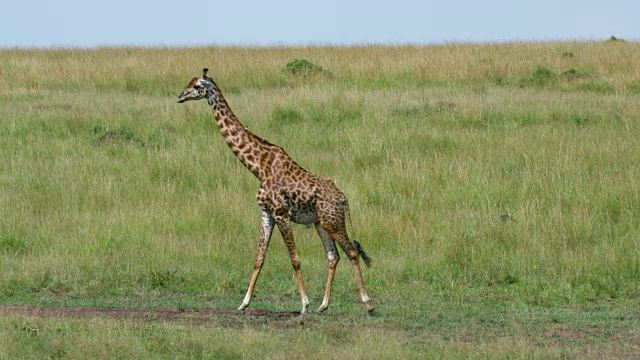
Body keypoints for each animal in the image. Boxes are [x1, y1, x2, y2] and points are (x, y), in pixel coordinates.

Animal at [176, 69, 376, 314]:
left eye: (196, 86)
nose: (180, 97)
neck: (258, 166)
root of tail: (344, 199)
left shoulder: (281, 213)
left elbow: (295, 258)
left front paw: (304, 304)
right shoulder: (266, 213)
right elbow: (259, 259)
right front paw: (243, 303)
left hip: (334, 221)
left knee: (352, 252)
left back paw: (367, 303)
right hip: (321, 223)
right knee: (333, 256)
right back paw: (323, 305)